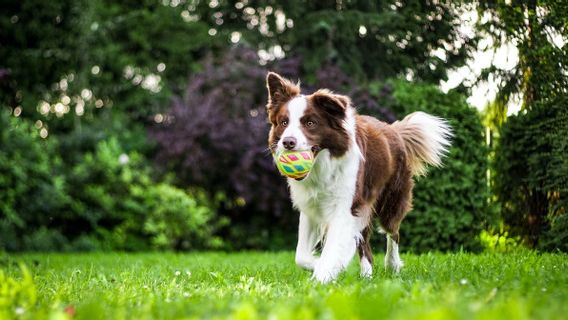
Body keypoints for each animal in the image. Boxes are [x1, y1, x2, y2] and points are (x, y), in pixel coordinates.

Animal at [266, 72, 452, 282]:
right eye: (284, 122)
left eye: (310, 123)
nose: (288, 142)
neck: (323, 166)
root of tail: (394, 130)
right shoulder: (311, 207)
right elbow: (301, 256)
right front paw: (323, 266)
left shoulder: (346, 207)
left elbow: (333, 248)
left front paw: (323, 275)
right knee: (365, 244)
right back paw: (366, 275)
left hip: (391, 200)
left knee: (393, 232)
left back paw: (392, 265)